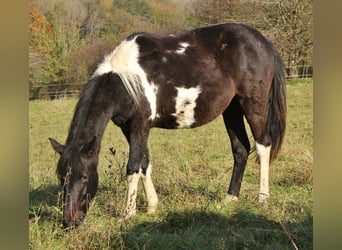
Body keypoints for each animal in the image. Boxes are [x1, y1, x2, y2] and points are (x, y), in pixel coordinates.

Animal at [48, 22, 286, 228]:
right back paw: (230, 198)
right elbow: (144, 164)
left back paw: (262, 198)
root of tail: (263, 41)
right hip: (232, 109)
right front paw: (152, 206)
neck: (125, 81)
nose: (70, 221)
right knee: (241, 149)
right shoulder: (128, 127)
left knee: (263, 145)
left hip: (253, 103)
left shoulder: (140, 125)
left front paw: (128, 214)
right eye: (61, 177)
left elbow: (133, 167)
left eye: (85, 176)